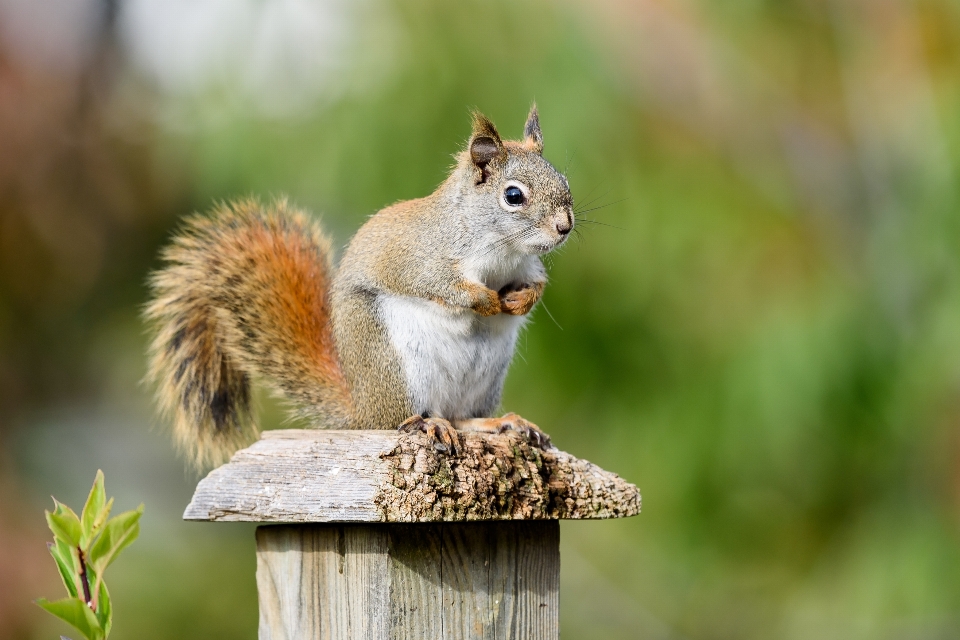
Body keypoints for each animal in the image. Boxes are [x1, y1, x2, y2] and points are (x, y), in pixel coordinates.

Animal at [146, 104, 572, 464]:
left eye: (564, 180)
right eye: (513, 195)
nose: (565, 227)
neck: (502, 248)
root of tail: (361, 409)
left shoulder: (528, 265)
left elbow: (536, 284)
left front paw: (520, 301)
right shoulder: (420, 256)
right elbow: (438, 284)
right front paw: (486, 301)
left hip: (486, 379)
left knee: (461, 416)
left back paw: (499, 422)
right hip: (399, 366)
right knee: (405, 418)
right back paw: (429, 423)